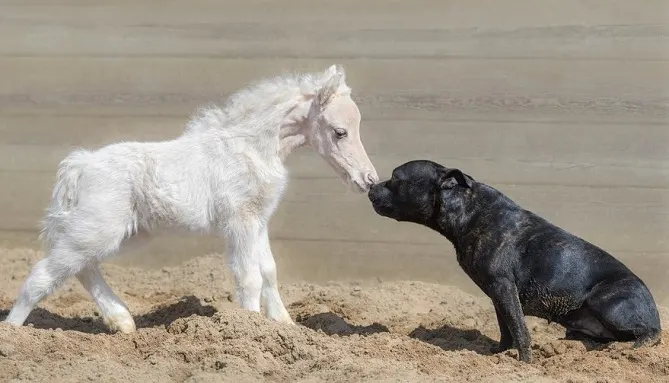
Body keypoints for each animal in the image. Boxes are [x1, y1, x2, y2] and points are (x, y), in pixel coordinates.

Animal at [3, 65, 376, 332]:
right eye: (339, 132)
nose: (368, 180)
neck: (253, 147)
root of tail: (80, 164)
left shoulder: (258, 219)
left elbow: (269, 269)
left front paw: (283, 324)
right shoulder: (240, 221)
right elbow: (249, 276)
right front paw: (251, 329)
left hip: (124, 234)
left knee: (82, 267)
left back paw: (122, 321)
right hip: (100, 229)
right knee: (46, 273)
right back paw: (13, 333)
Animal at [368, 160, 660, 364]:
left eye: (395, 178)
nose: (371, 187)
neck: (466, 209)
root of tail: (651, 303)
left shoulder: (504, 287)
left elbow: (519, 330)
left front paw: (524, 363)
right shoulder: (498, 294)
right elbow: (506, 329)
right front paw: (498, 356)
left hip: (608, 302)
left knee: (652, 332)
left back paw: (634, 349)